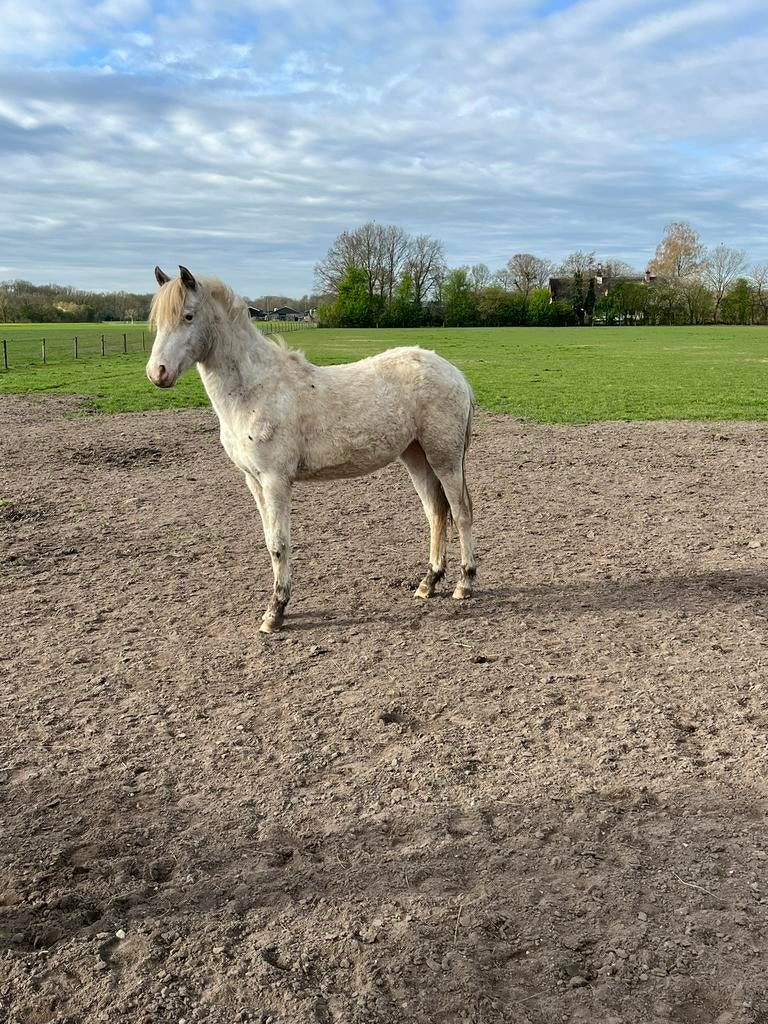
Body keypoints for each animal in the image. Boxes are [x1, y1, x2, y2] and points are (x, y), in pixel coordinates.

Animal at [146, 266, 476, 634]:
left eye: (188, 316)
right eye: (157, 321)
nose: (157, 373)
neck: (256, 389)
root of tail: (455, 374)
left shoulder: (275, 481)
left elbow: (280, 544)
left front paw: (275, 612)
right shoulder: (254, 482)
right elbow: (269, 541)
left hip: (445, 459)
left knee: (461, 512)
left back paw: (464, 584)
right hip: (416, 456)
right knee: (436, 513)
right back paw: (428, 583)